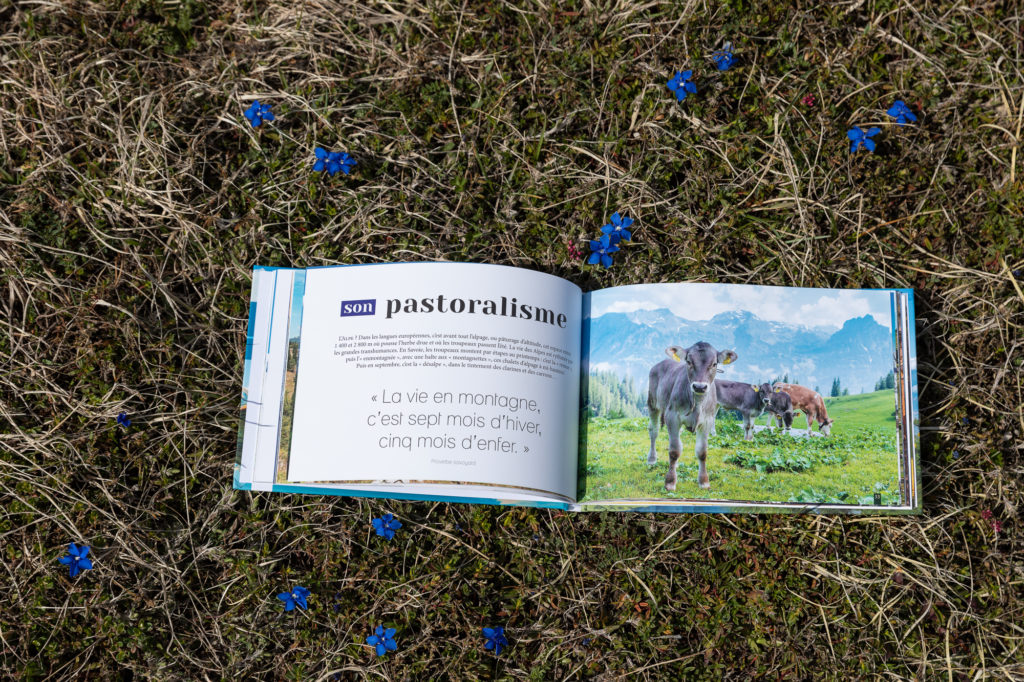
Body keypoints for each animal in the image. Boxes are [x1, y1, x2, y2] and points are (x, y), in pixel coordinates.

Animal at [647, 339, 737, 489]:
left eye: (714, 364)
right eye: (689, 361)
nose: (699, 387)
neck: (698, 404)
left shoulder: (707, 421)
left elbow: (702, 452)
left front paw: (704, 481)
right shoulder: (672, 416)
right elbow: (674, 450)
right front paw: (670, 481)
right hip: (652, 403)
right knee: (654, 431)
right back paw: (652, 459)